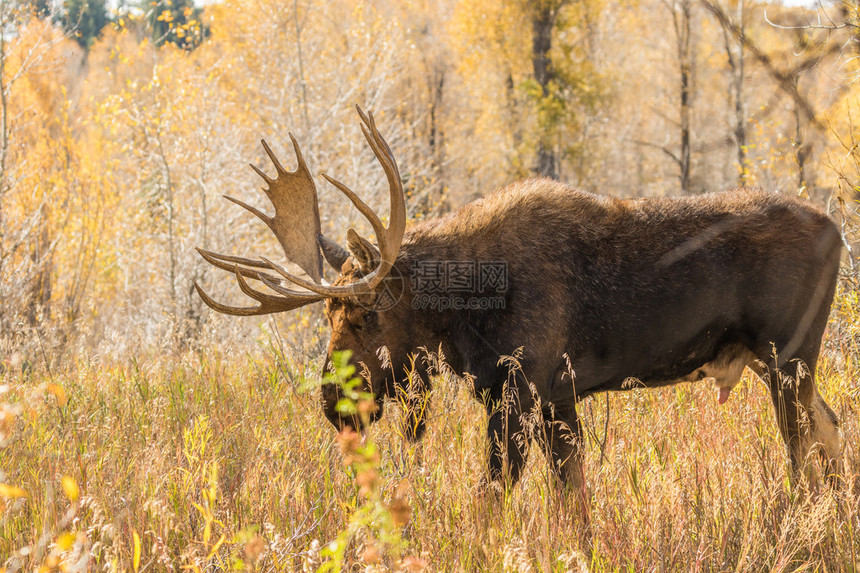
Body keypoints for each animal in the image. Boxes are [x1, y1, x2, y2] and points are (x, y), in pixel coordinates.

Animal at [193, 106, 840, 488]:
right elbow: (571, 500)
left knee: (803, 453)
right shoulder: (556, 398)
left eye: (370, 311)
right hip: (772, 364)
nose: (333, 403)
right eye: (326, 312)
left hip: (789, 357)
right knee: (830, 427)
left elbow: (493, 498)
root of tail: (838, 232)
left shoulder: (520, 392)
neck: (464, 317)